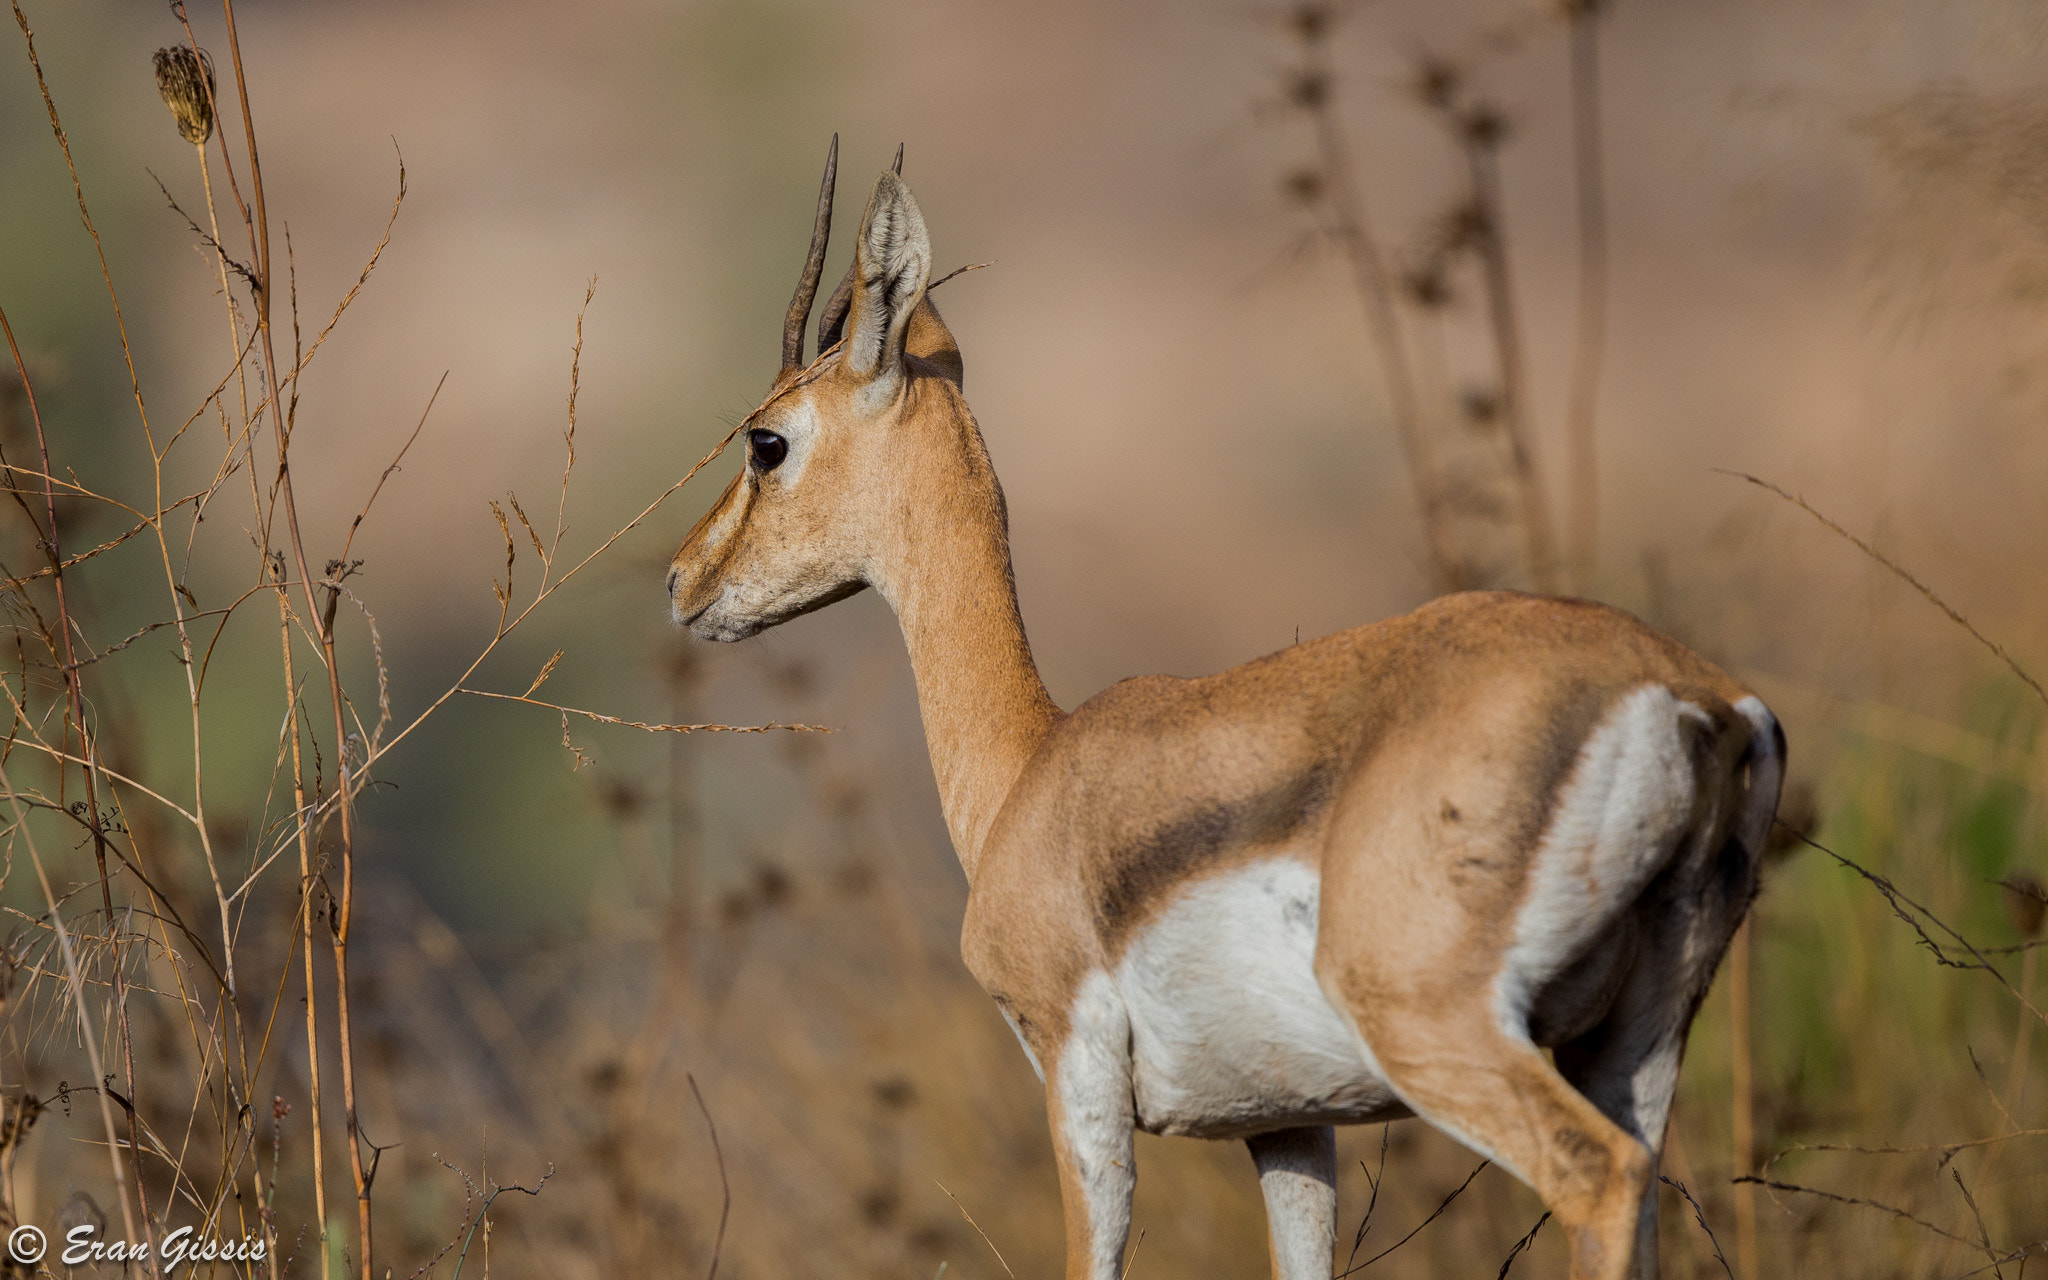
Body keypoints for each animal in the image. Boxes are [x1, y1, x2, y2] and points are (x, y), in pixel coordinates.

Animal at [666, 138, 1785, 1280]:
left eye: (766, 441)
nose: (681, 580)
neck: (1035, 771)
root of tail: (1690, 697)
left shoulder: (1077, 1078)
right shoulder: (1287, 1119)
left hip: (1443, 1031)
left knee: (1595, 1175)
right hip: (1635, 1040)